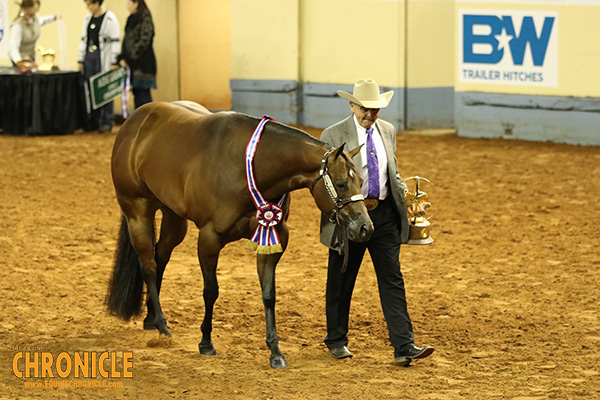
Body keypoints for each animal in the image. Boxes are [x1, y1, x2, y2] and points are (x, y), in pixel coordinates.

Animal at [105, 101, 372, 368]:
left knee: (160, 257)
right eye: (340, 184)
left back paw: (151, 319)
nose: (365, 228)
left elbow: (269, 294)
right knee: (148, 265)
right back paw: (161, 325)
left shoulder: (273, 238)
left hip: (174, 217)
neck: (251, 166)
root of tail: (135, 119)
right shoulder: (209, 238)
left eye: (360, 179)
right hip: (137, 211)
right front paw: (206, 342)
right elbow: (211, 290)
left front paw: (275, 352)